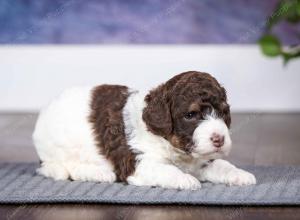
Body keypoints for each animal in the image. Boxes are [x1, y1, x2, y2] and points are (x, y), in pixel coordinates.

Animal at [34, 71, 255, 190]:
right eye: (191, 115)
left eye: (224, 112)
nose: (219, 139)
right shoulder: (140, 162)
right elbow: (166, 169)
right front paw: (185, 179)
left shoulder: (202, 158)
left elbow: (223, 165)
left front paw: (241, 175)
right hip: (60, 149)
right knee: (64, 168)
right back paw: (100, 173)